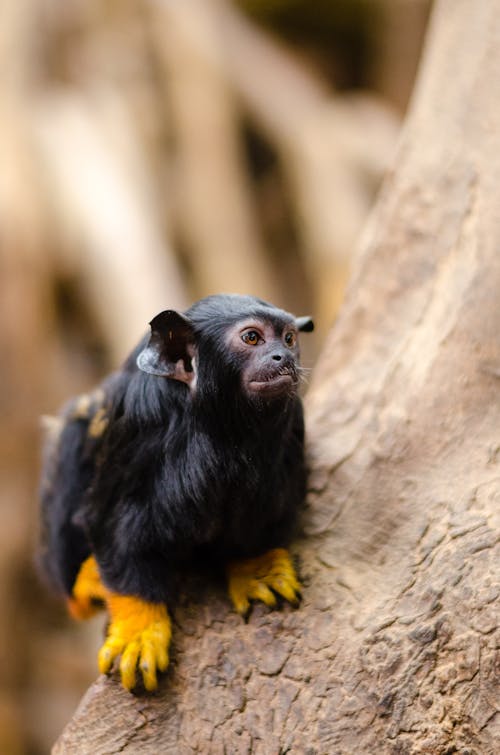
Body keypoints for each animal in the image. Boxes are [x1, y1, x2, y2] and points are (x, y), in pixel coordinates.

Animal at [39, 294, 312, 692]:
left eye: (290, 338)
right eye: (252, 338)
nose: (283, 357)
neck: (216, 429)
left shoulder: (292, 429)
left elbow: (262, 511)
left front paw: (256, 566)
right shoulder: (140, 428)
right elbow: (115, 529)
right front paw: (139, 626)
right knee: (75, 427)